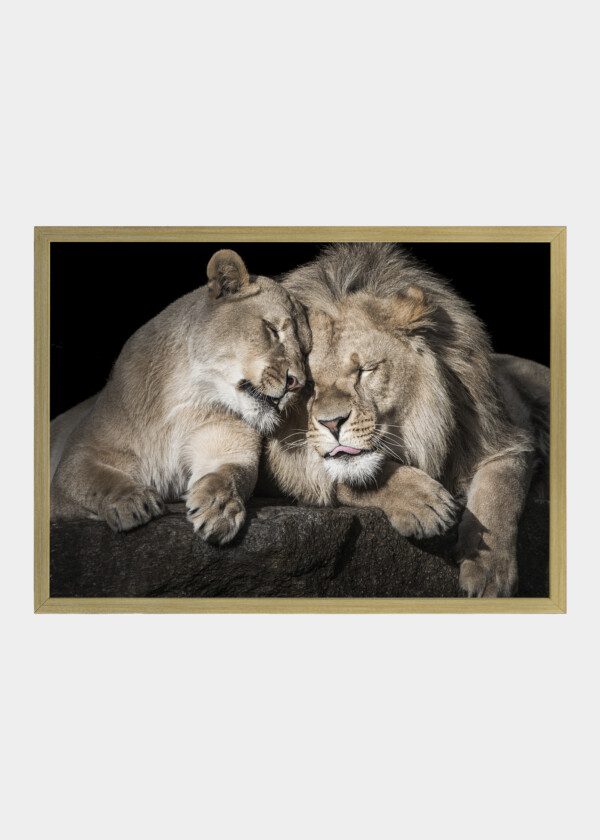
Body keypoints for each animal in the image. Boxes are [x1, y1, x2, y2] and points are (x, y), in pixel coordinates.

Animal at [51, 249, 310, 544]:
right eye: (272, 329)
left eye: (305, 352)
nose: (297, 383)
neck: (187, 396)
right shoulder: (77, 458)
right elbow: (97, 479)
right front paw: (132, 501)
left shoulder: (229, 447)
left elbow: (229, 475)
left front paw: (220, 509)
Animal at [262, 243, 549, 597]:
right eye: (306, 384)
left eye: (365, 370)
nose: (332, 424)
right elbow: (346, 476)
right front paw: (423, 503)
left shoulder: (507, 440)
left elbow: (498, 496)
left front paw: (488, 574)